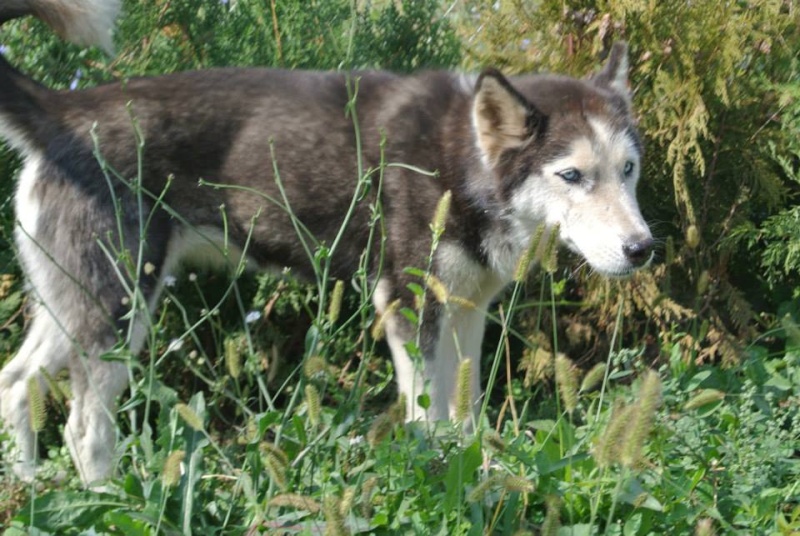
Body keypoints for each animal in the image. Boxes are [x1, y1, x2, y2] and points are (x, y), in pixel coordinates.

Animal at [0, 0, 648, 486]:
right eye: (571, 175)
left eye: (629, 169)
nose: (642, 248)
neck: (459, 158)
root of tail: (64, 110)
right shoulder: (410, 309)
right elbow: (428, 419)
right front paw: (438, 478)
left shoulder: (465, 312)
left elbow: (463, 417)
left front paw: (478, 476)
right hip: (116, 315)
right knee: (84, 428)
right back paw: (107, 502)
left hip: (74, 311)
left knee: (16, 385)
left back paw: (30, 491)